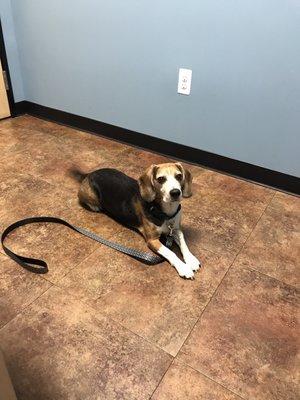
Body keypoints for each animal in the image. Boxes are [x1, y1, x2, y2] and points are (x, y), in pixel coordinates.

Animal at [71, 162, 200, 278]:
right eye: (161, 179)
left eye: (179, 176)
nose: (175, 192)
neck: (166, 214)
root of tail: (89, 174)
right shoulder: (152, 240)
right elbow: (170, 252)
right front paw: (183, 267)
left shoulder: (176, 229)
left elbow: (184, 244)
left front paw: (191, 260)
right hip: (91, 197)